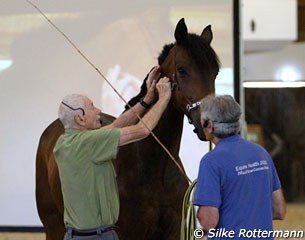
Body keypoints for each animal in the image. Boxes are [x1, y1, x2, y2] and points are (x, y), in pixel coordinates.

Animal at [36, 17, 218, 239]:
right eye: (182, 69)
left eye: (215, 72)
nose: (208, 123)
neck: (151, 165)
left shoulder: (172, 231)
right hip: (53, 225)